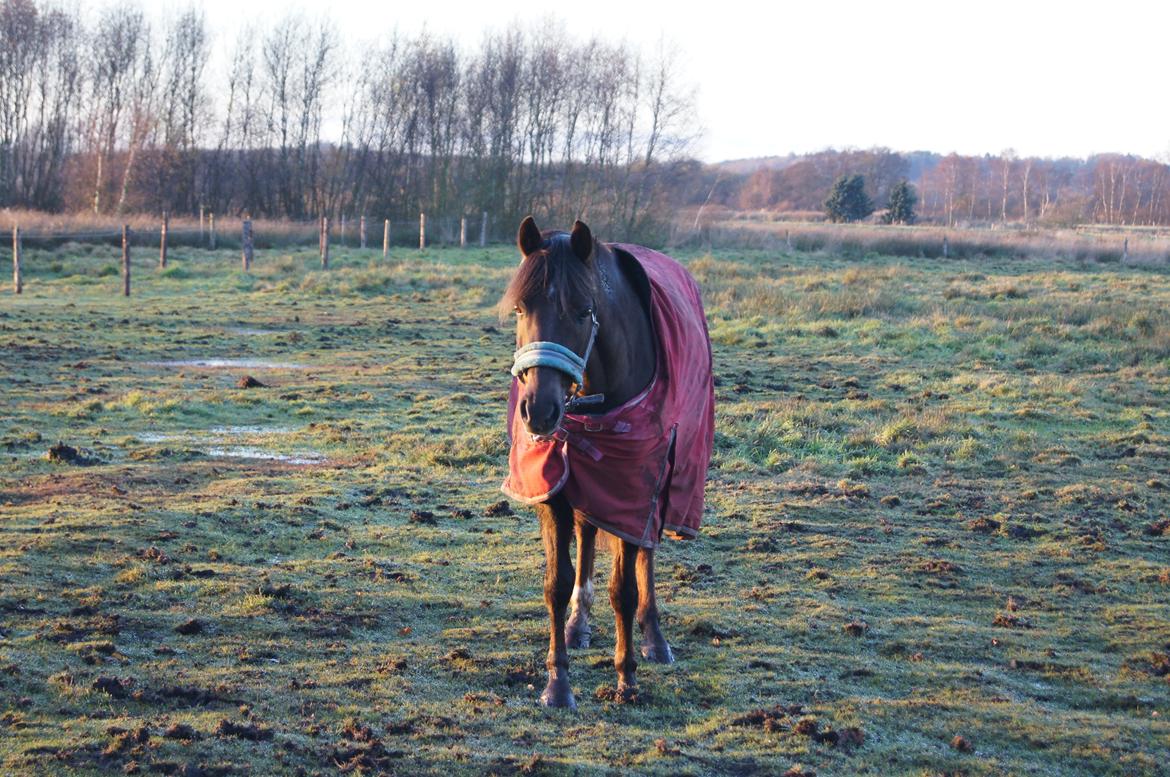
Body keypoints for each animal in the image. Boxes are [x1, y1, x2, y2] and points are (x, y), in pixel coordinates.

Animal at [496, 215, 711, 706]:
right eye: (520, 310)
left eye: (582, 310)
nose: (539, 411)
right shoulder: (553, 491)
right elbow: (557, 584)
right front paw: (558, 683)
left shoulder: (633, 489)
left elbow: (625, 589)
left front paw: (626, 677)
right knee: (589, 531)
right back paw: (578, 626)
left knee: (646, 553)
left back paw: (654, 639)